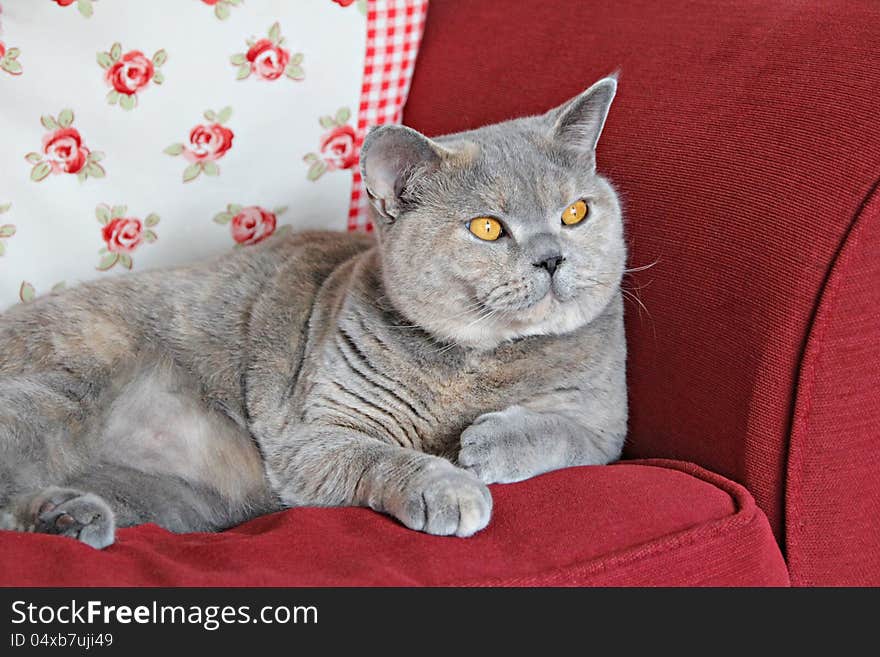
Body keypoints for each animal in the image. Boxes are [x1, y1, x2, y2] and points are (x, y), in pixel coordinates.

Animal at [0, 78, 624, 548]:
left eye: (575, 213)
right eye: (489, 228)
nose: (552, 256)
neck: (476, 366)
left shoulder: (607, 422)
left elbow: (571, 437)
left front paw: (489, 444)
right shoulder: (313, 434)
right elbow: (381, 456)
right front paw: (452, 487)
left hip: (171, 494)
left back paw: (69, 518)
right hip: (62, 391)